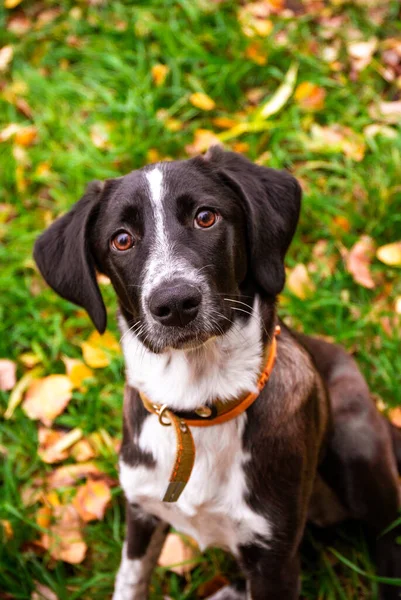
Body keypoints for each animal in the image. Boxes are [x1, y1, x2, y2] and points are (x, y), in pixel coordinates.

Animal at [34, 146, 400, 600]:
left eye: (205, 217)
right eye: (122, 240)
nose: (174, 303)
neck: (198, 407)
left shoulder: (274, 557)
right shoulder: (142, 511)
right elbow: (130, 580)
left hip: (356, 441)